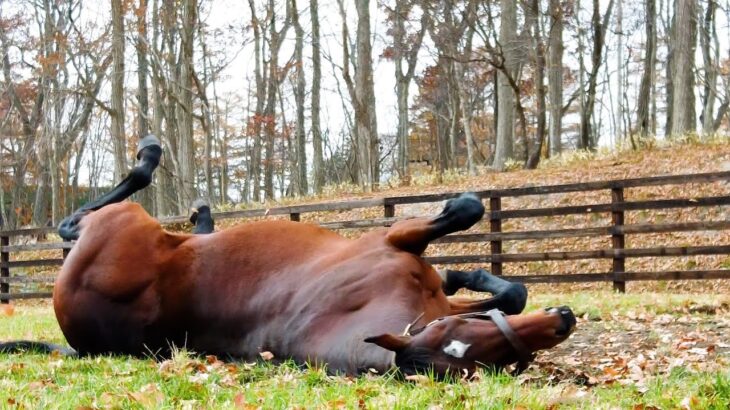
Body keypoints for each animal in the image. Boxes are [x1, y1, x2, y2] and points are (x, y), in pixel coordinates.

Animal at [4, 135, 576, 378]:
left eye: (491, 362)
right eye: (453, 341)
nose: (563, 319)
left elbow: (510, 290)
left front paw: (465, 274)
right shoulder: (394, 239)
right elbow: (466, 207)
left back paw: (203, 219)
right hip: (121, 221)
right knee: (79, 217)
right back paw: (151, 155)